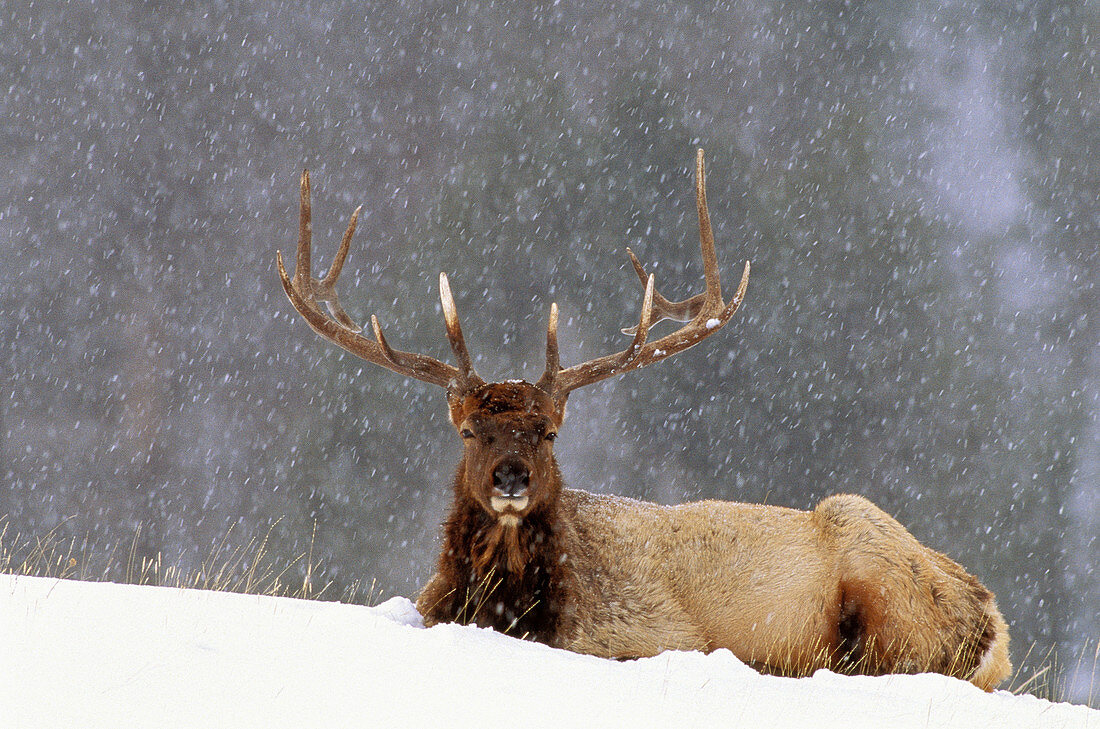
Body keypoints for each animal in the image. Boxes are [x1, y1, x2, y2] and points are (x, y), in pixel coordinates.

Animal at [277, 150, 1012, 694]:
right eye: (467, 430)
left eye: (550, 431)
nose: (511, 476)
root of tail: (992, 625)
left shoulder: (650, 631)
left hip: (875, 563)